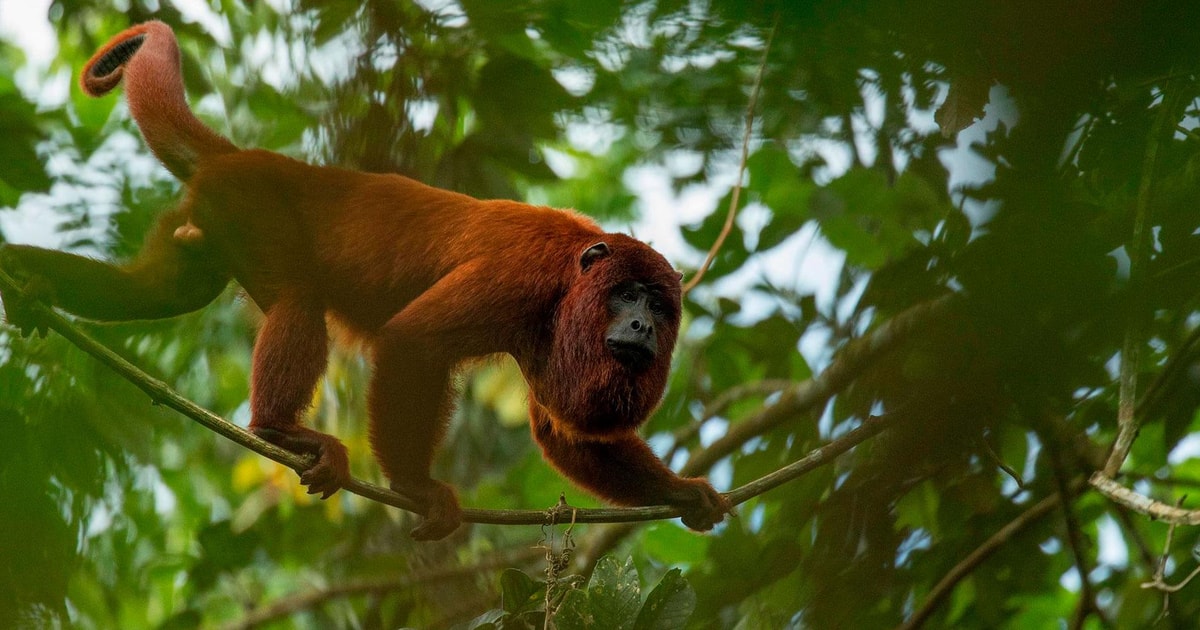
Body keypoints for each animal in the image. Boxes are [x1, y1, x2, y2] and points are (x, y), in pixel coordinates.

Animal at [0, 21, 731, 540]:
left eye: (659, 306)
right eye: (626, 294)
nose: (640, 325)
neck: (574, 271)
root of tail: (245, 157)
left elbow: (563, 431)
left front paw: (682, 492)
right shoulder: (520, 277)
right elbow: (413, 341)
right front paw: (418, 489)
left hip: (202, 224)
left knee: (158, 292)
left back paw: (30, 279)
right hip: (253, 205)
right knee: (298, 298)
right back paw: (279, 431)